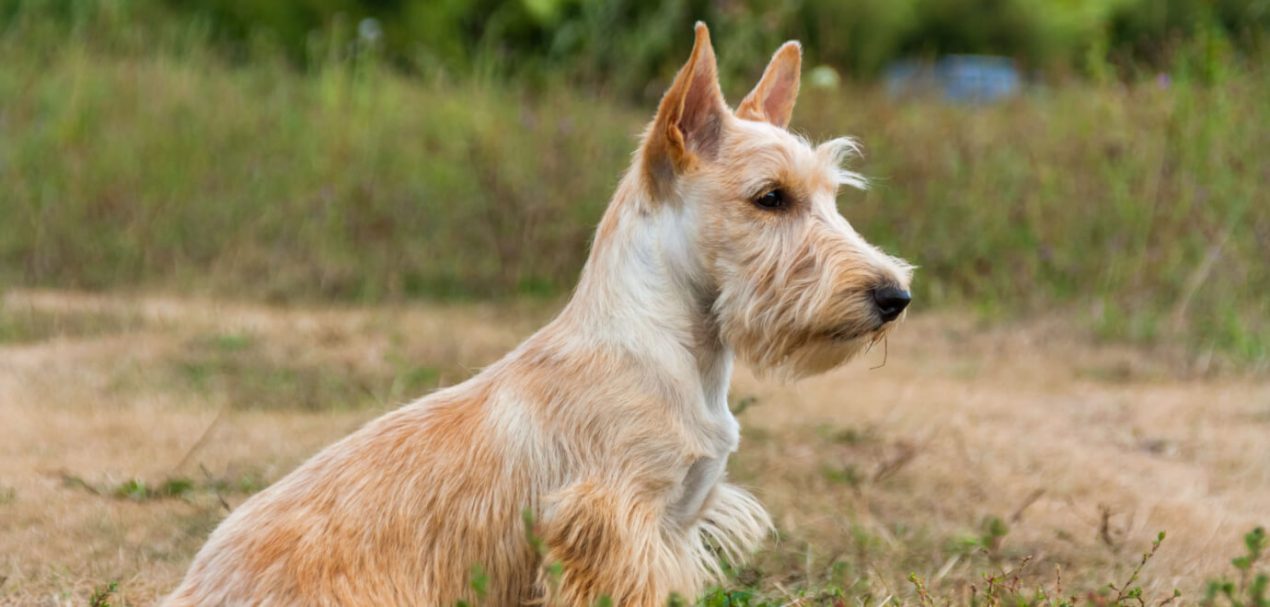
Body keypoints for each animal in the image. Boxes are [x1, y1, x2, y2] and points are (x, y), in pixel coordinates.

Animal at [163, 23, 914, 607]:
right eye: (770, 197)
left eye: (832, 195)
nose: (893, 297)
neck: (672, 352)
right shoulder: (609, 528)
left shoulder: (674, 525)